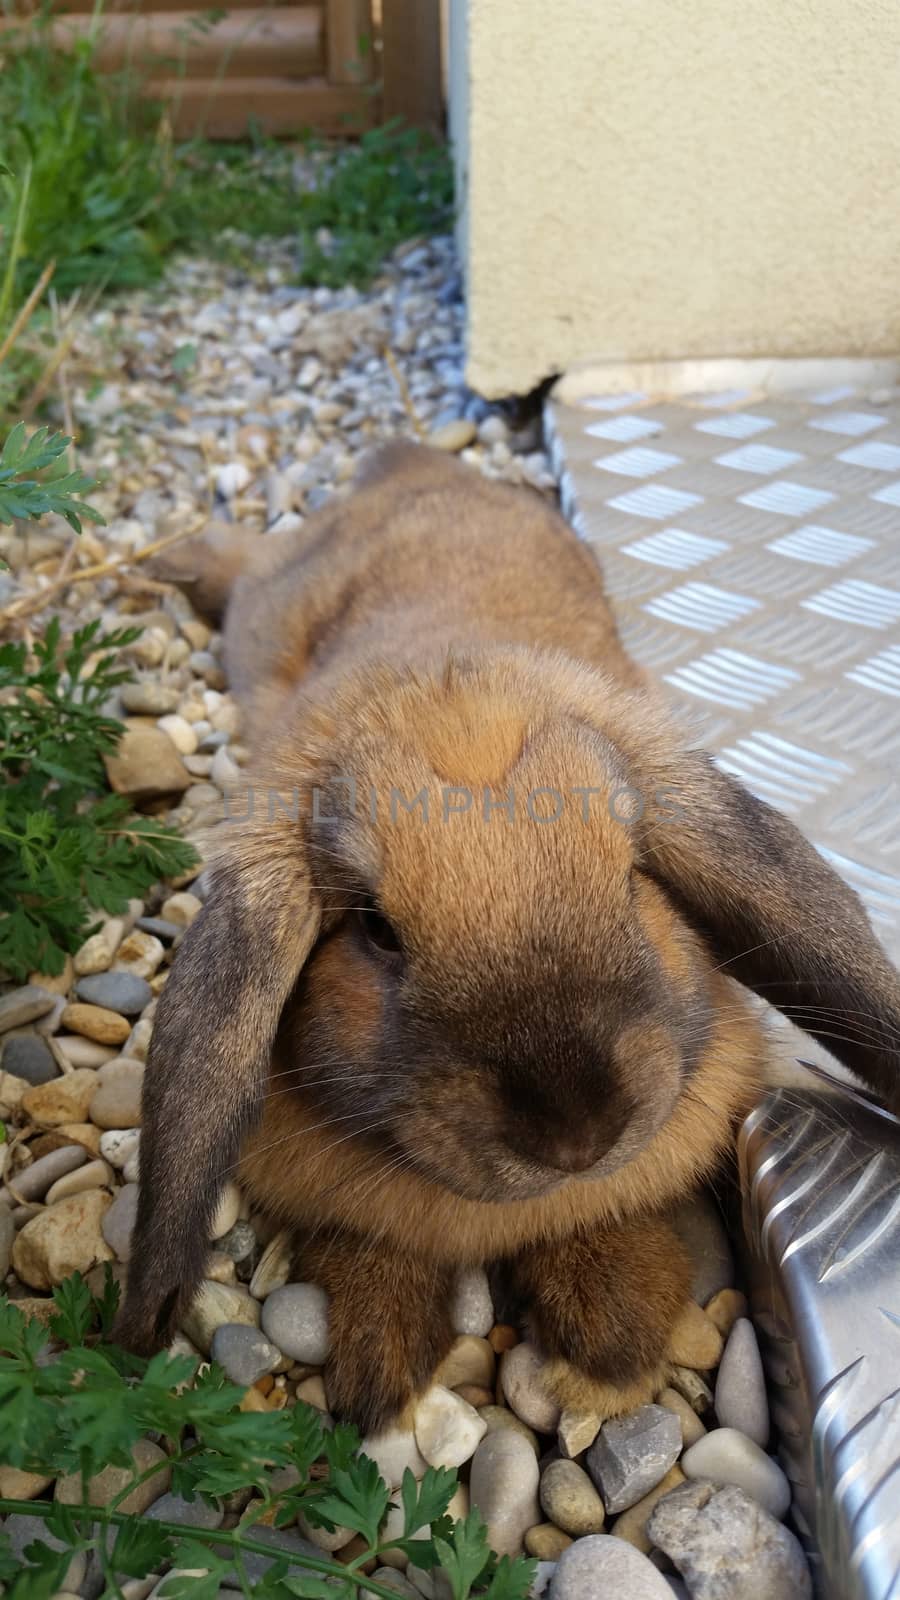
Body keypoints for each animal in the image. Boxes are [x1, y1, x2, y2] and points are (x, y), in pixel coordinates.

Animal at [115, 444, 896, 1433]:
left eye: (632, 874)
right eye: (375, 929)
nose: (575, 1135)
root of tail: (410, 465)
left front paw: (613, 1329)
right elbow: (370, 1254)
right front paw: (380, 1364)